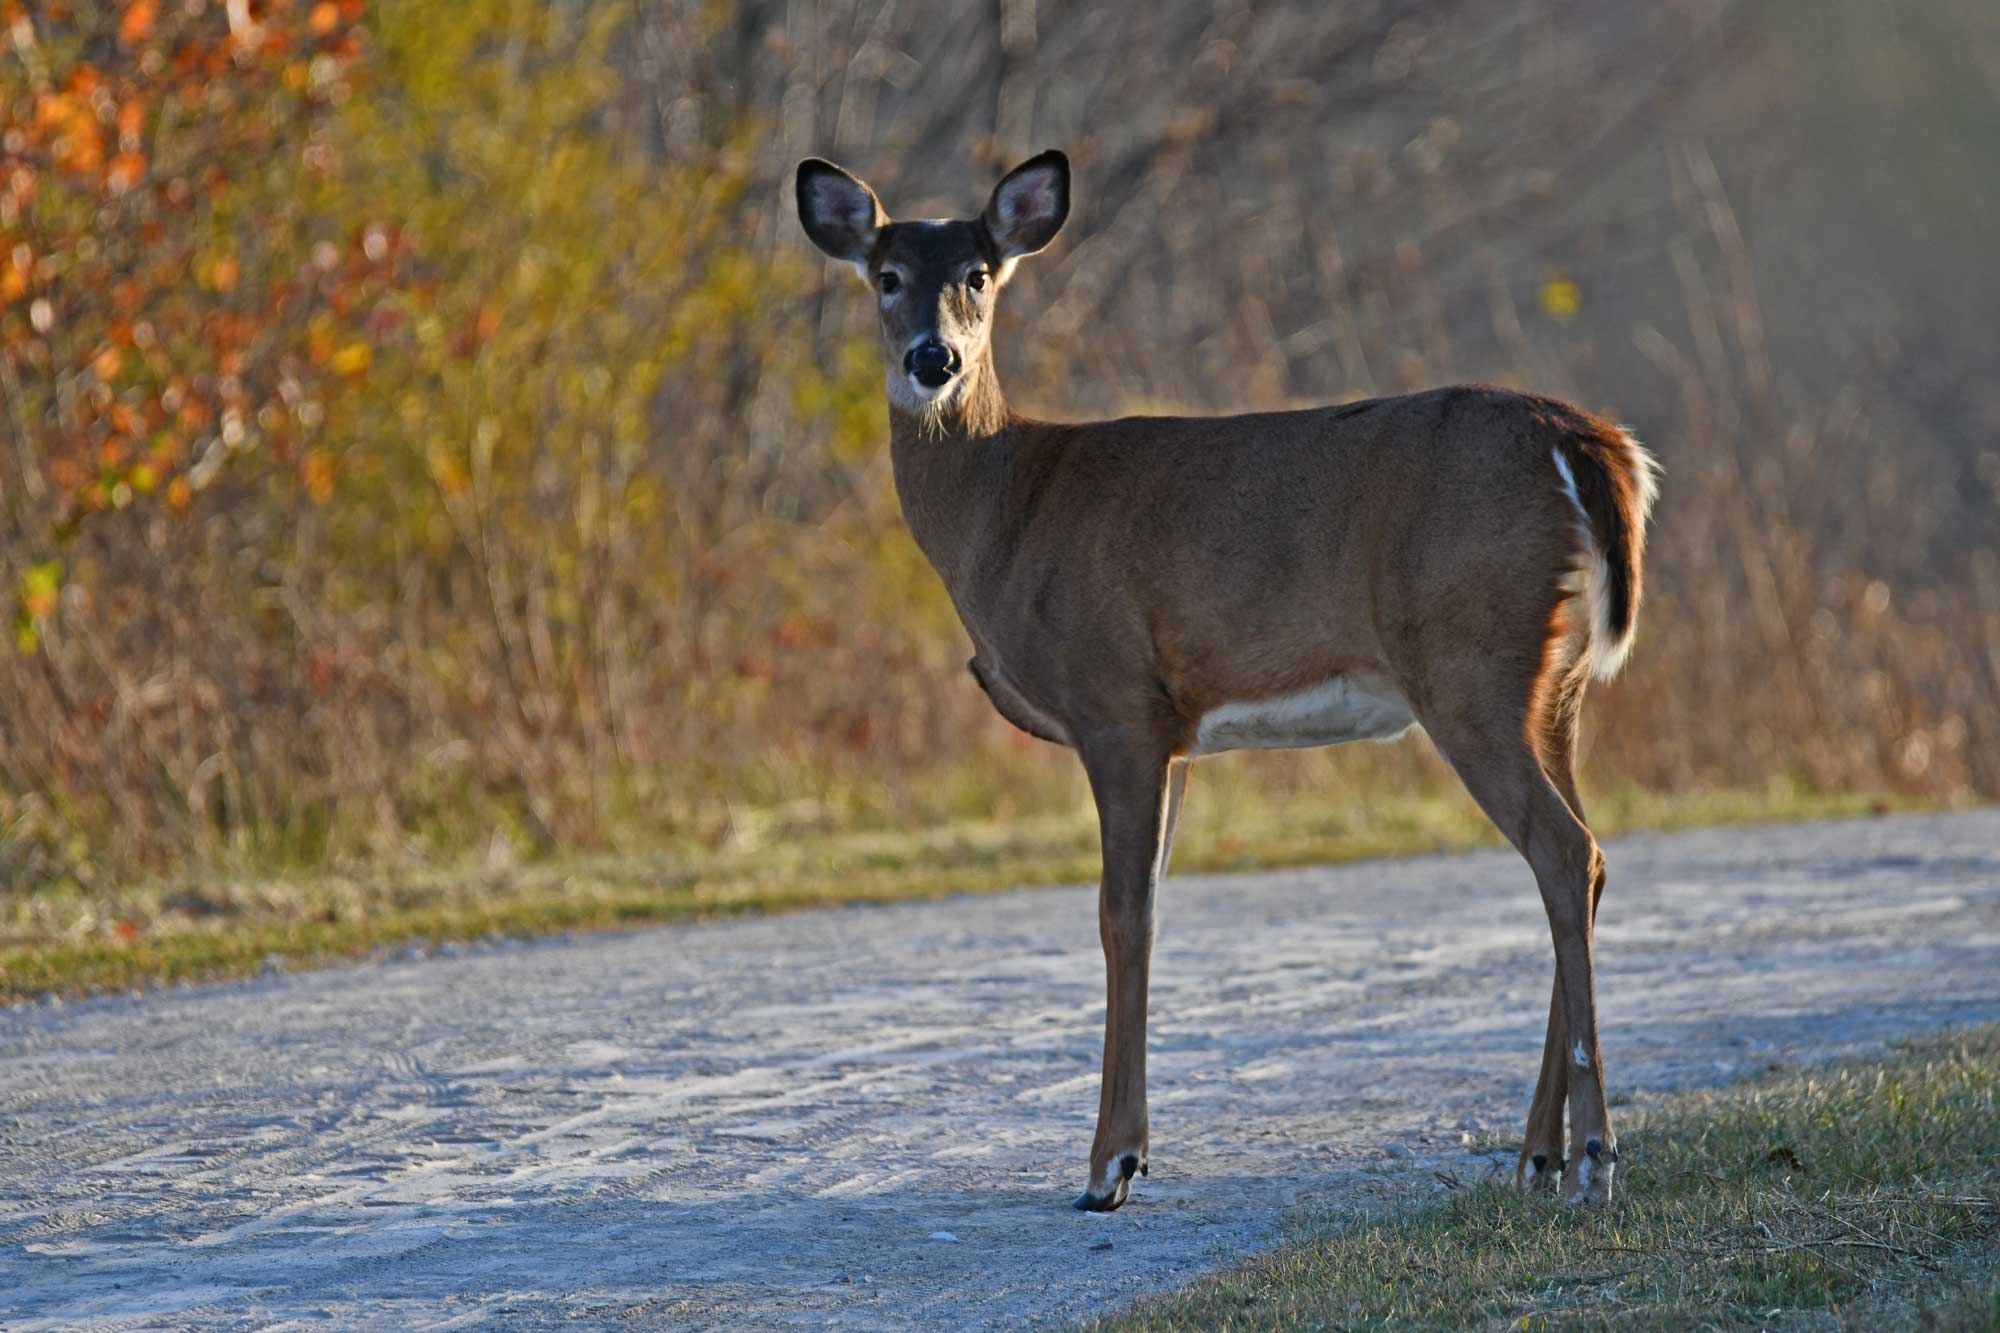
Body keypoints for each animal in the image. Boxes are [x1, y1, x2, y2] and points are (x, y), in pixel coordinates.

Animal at [795, 149, 1658, 1212]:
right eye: (886, 275)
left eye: (979, 276)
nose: (933, 360)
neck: (1011, 507)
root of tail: (1590, 445)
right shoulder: (1173, 730)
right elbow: (1152, 904)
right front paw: (1128, 1151)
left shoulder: (1116, 701)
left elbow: (1120, 914)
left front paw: (1111, 1165)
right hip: (1554, 686)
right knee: (1587, 855)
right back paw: (1537, 1152)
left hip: (1469, 662)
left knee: (1565, 850)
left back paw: (1593, 1155)